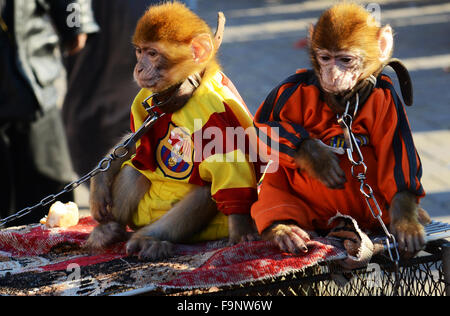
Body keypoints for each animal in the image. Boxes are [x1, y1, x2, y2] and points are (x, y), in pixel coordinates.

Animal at [86, 1, 258, 260]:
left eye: (153, 54)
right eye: (140, 51)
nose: (138, 68)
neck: (184, 95)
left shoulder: (214, 110)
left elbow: (229, 163)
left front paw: (241, 229)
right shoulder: (145, 99)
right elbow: (133, 143)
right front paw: (100, 182)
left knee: (205, 190)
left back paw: (150, 238)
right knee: (135, 170)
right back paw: (109, 230)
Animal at [253, 2, 428, 258]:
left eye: (345, 59)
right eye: (325, 58)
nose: (332, 75)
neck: (343, 101)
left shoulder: (390, 101)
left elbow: (397, 157)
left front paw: (407, 223)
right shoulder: (290, 88)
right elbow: (264, 126)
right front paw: (319, 159)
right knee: (278, 166)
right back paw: (282, 228)